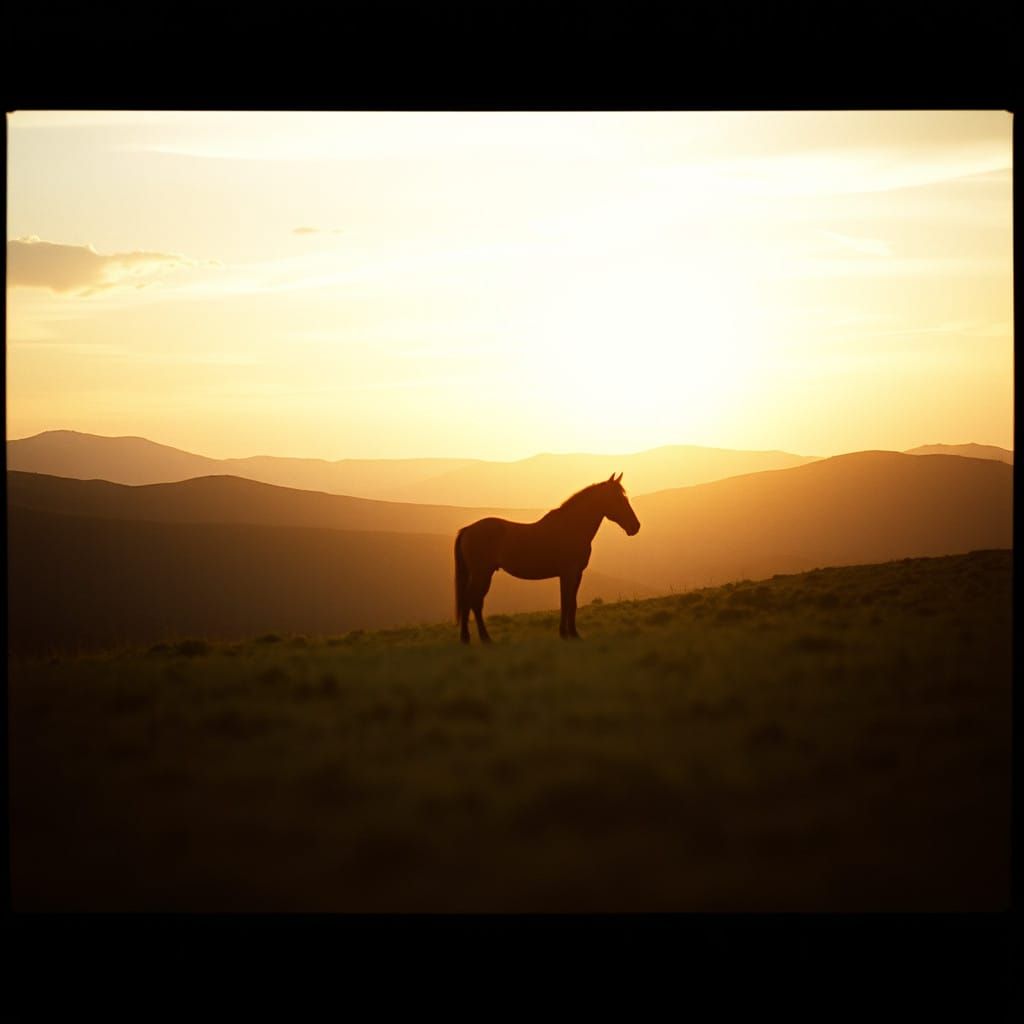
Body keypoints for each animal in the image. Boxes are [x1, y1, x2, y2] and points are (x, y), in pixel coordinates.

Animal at [454, 473, 640, 643]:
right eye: (618, 499)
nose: (635, 526)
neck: (571, 527)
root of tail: (468, 529)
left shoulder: (576, 574)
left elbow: (571, 603)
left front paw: (571, 633)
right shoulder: (568, 574)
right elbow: (566, 602)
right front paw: (567, 634)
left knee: (472, 601)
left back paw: (472, 638)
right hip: (482, 574)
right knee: (472, 601)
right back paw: (480, 638)